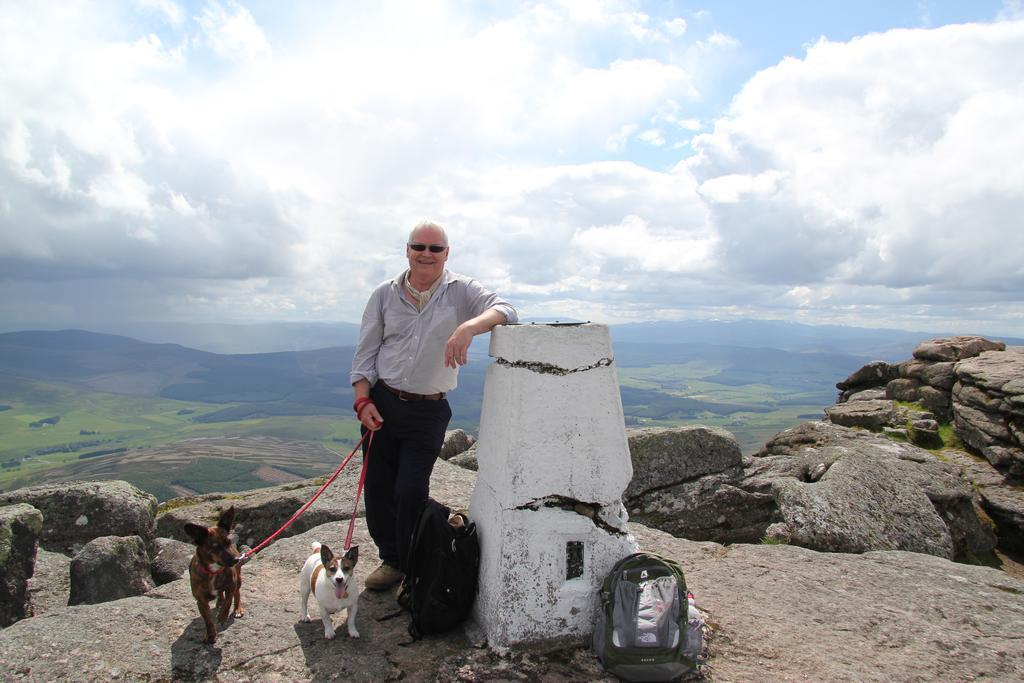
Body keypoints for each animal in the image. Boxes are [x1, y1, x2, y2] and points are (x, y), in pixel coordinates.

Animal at [184, 505, 243, 643]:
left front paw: (222, 616)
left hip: (238, 580)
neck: (214, 571)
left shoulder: (231, 585)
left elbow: (228, 601)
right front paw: (210, 635)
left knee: (237, 594)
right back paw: (219, 601)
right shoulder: (201, 601)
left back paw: (237, 609)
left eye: (228, 542)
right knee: (221, 595)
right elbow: (208, 621)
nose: (236, 560)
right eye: (215, 547)